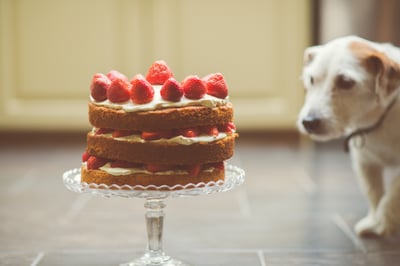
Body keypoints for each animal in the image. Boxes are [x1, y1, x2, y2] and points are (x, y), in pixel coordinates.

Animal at [296, 35, 400, 237]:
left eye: (345, 81)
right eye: (311, 79)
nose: (308, 122)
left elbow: (392, 195)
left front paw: (383, 223)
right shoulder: (365, 163)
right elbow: (374, 193)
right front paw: (373, 221)